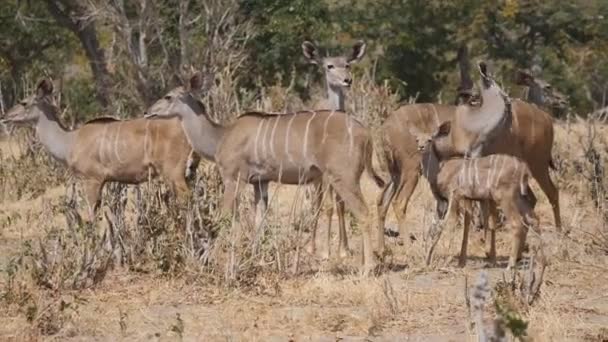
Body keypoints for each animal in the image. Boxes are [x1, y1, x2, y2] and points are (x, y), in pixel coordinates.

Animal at [1, 79, 198, 220]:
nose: (4, 117)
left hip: (173, 172)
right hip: (189, 171)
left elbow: (91, 216)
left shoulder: (92, 180)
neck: (70, 141)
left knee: (186, 198)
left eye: (24, 102)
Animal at [146, 74, 384, 272]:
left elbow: (224, 217)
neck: (221, 137)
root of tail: (366, 133)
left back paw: (367, 268)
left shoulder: (234, 179)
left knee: (364, 213)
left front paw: (211, 260)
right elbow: (260, 219)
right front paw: (255, 258)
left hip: (343, 178)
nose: (148, 112)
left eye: (168, 96)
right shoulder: (260, 182)